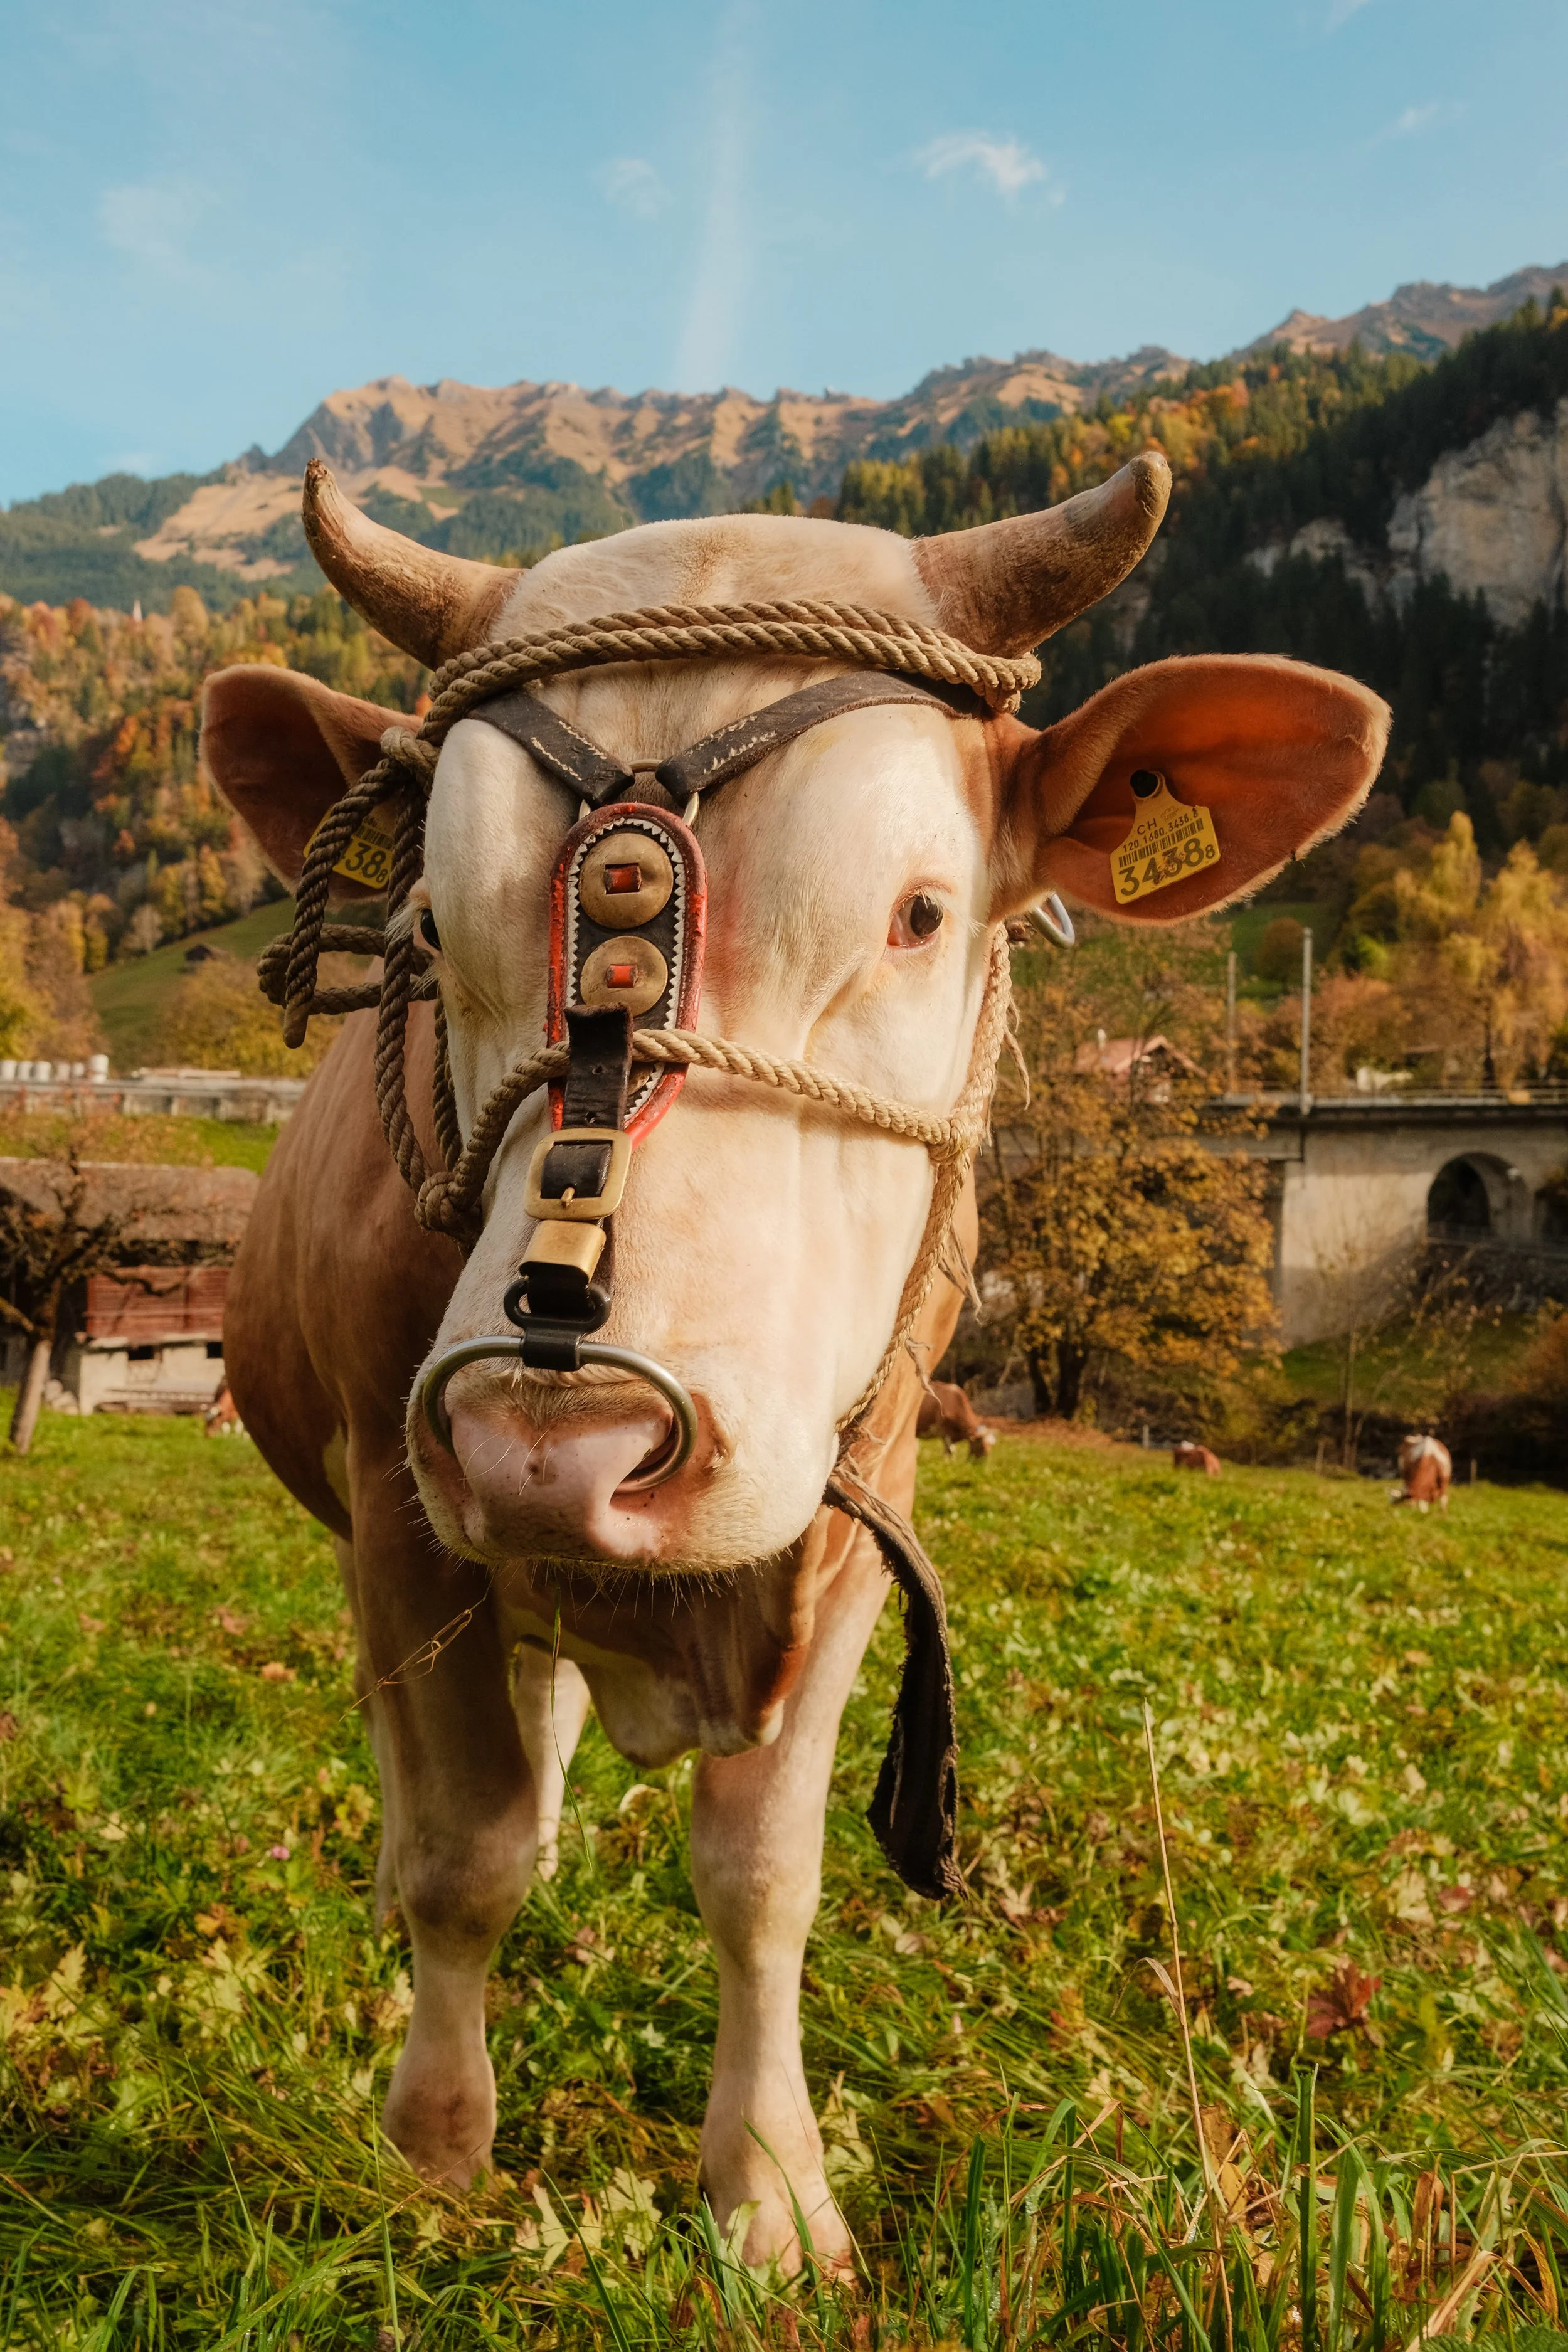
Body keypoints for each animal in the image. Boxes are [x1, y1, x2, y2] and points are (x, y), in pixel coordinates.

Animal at [200, 450, 1388, 2276]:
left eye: (918, 913)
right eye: (435, 922)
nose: (560, 1441)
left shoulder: (856, 1506)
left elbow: (763, 1876)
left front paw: (768, 2190)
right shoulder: (403, 1517)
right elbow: (464, 1853)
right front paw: (436, 2148)